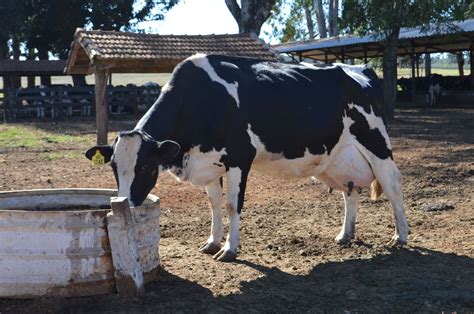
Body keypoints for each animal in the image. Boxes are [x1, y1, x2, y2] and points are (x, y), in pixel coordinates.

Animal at [87, 53, 410, 262]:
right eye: (113, 167)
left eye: (145, 166)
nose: (125, 204)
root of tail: (360, 69)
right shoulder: (208, 161)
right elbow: (214, 205)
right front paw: (212, 242)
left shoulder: (240, 157)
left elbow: (232, 205)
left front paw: (229, 249)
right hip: (337, 158)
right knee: (350, 190)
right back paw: (346, 235)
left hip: (377, 143)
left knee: (393, 186)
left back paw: (401, 237)